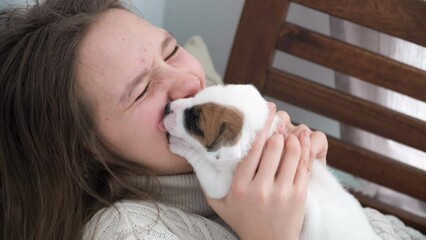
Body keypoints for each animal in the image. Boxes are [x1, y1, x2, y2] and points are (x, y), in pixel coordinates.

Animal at [164, 84, 380, 240]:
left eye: (194, 121)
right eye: (195, 95)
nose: (167, 107)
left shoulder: (221, 184)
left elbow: (202, 162)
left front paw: (179, 144)